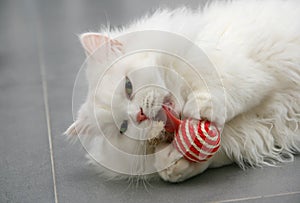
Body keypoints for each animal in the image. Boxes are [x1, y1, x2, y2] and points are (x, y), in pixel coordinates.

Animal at [65, 0, 300, 182]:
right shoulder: (250, 133)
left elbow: (225, 87)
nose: (139, 115)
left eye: (128, 86)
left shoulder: (246, 65)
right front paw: (171, 163)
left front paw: (200, 108)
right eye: (122, 127)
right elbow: (216, 151)